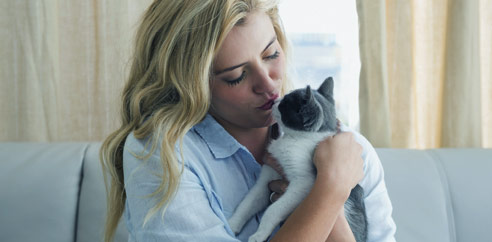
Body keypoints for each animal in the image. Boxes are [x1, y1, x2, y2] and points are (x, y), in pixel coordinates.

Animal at [227, 77, 366, 242]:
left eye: (284, 105)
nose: (273, 102)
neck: (293, 138)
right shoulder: (267, 177)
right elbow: (248, 202)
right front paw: (231, 224)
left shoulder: (304, 183)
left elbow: (273, 210)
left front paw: (259, 235)